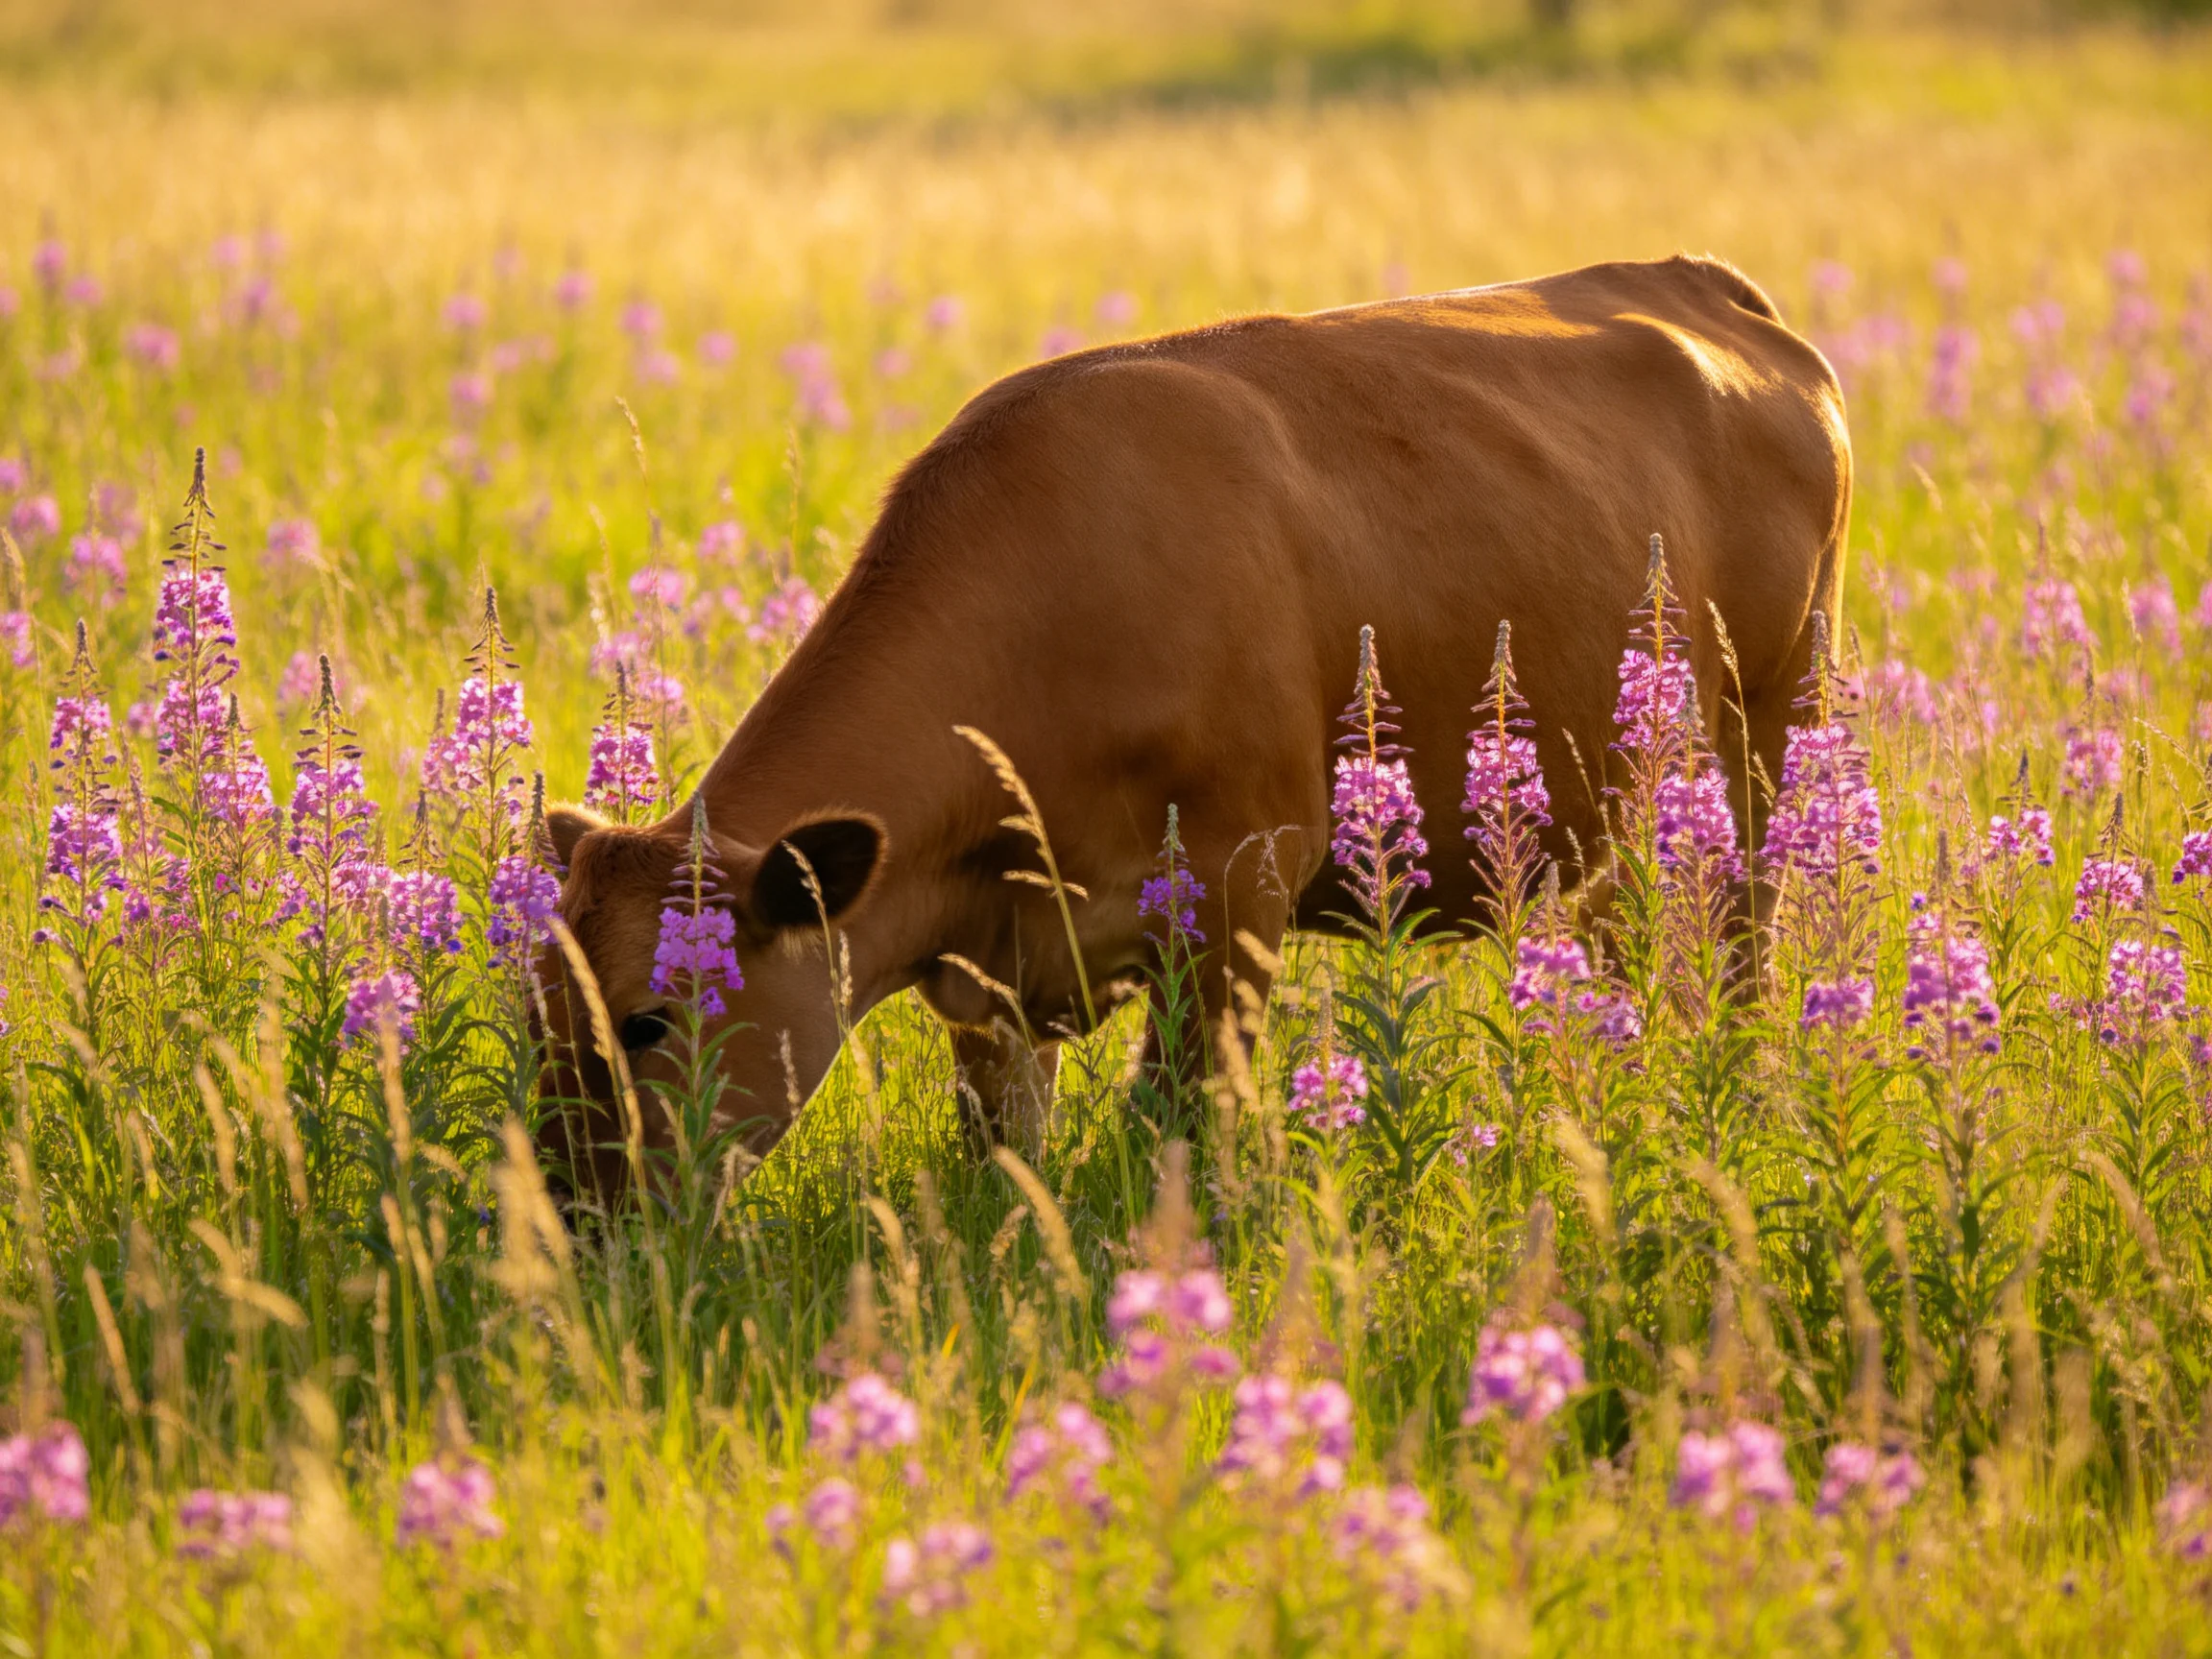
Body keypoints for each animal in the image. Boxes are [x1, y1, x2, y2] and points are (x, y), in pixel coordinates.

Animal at [535, 254, 1851, 1197]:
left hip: (1772, 721)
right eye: (539, 998)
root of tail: (1695, 280)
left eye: (650, 1018)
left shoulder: (1242, 882)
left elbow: (1179, 1123)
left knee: (1746, 929)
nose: (568, 1214)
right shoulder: (991, 978)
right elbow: (1003, 1153)